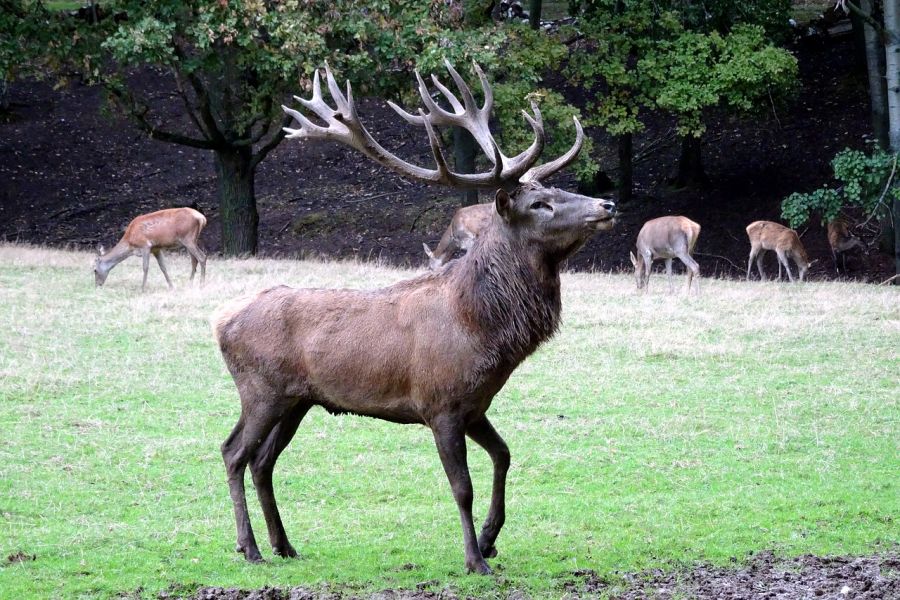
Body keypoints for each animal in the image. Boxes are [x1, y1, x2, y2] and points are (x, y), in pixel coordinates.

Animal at [214, 59, 616, 572]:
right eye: (539, 204)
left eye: (557, 188)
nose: (607, 205)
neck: (481, 330)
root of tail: (222, 323)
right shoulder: (439, 404)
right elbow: (461, 487)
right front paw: (475, 559)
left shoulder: (475, 406)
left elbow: (504, 456)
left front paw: (491, 538)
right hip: (260, 390)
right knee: (233, 453)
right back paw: (249, 548)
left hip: (297, 400)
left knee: (263, 461)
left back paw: (284, 545)